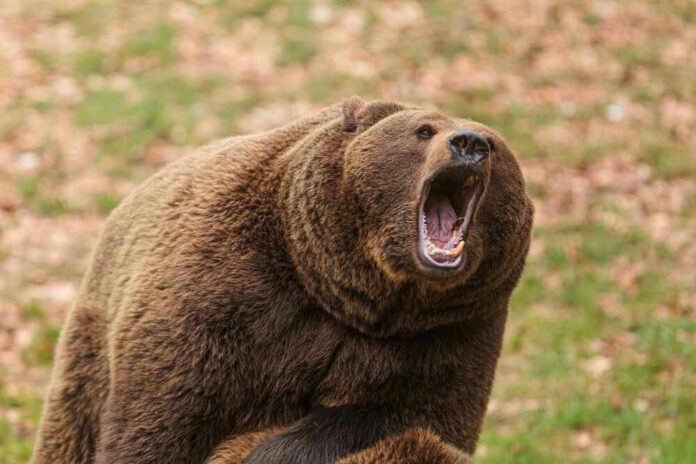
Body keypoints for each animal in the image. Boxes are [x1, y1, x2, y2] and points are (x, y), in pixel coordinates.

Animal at [32, 96, 533, 464]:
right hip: (92, 344)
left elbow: (419, 414)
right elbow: (160, 423)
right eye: (424, 130)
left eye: (495, 145)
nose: (469, 143)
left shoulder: (450, 333)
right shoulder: (223, 297)